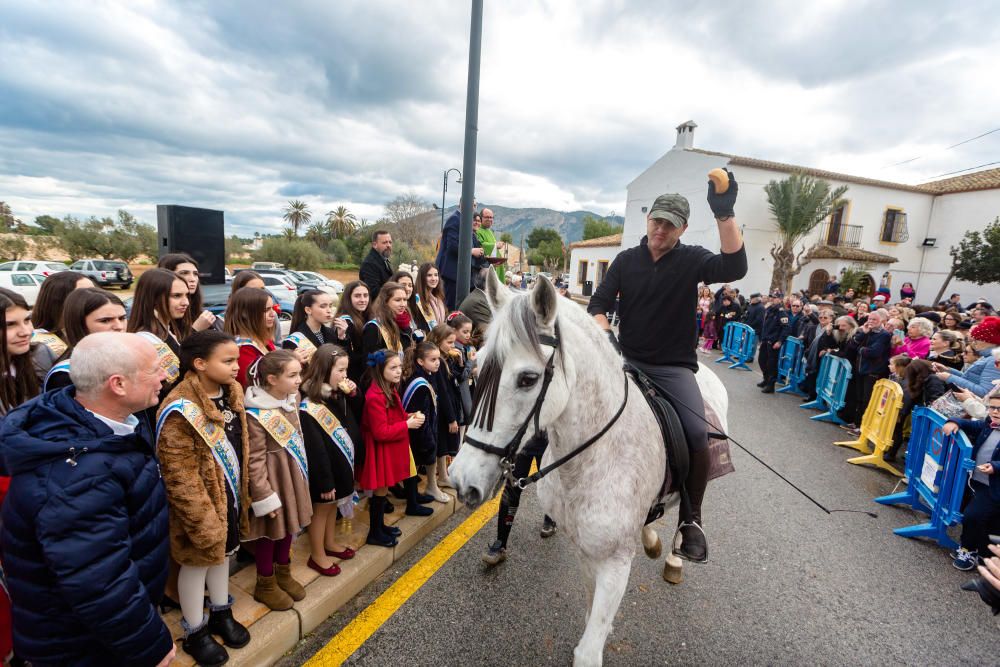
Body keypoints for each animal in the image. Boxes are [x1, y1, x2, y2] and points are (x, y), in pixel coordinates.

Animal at [452, 272, 728, 667]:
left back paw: (677, 552)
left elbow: (588, 650)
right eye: (477, 367)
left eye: (527, 379)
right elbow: (590, 611)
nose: (462, 481)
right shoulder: (586, 551)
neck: (592, 460)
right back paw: (651, 538)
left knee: (688, 507)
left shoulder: (615, 564)